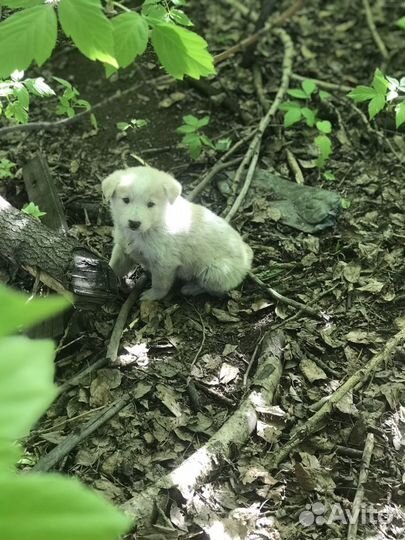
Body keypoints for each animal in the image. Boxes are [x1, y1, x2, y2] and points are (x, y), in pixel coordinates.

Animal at [102, 167, 252, 302]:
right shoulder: (123, 248)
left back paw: (191, 288)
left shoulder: (164, 263)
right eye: (126, 200)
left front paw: (151, 296)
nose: (134, 223)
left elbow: (160, 284)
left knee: (212, 289)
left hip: (214, 272)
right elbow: (114, 266)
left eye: (151, 204)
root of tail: (246, 255)